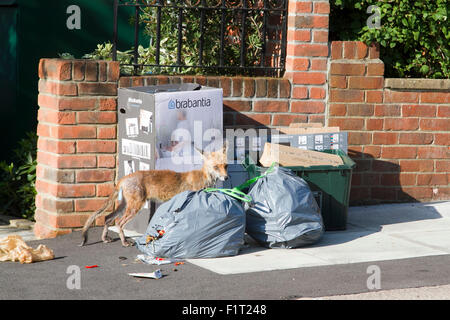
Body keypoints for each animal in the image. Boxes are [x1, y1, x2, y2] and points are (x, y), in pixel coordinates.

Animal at [79, 145, 229, 248]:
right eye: (216, 167)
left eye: (226, 166)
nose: (226, 177)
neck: (204, 178)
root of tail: (124, 178)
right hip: (135, 207)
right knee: (119, 223)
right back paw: (124, 242)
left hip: (125, 206)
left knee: (107, 218)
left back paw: (105, 238)